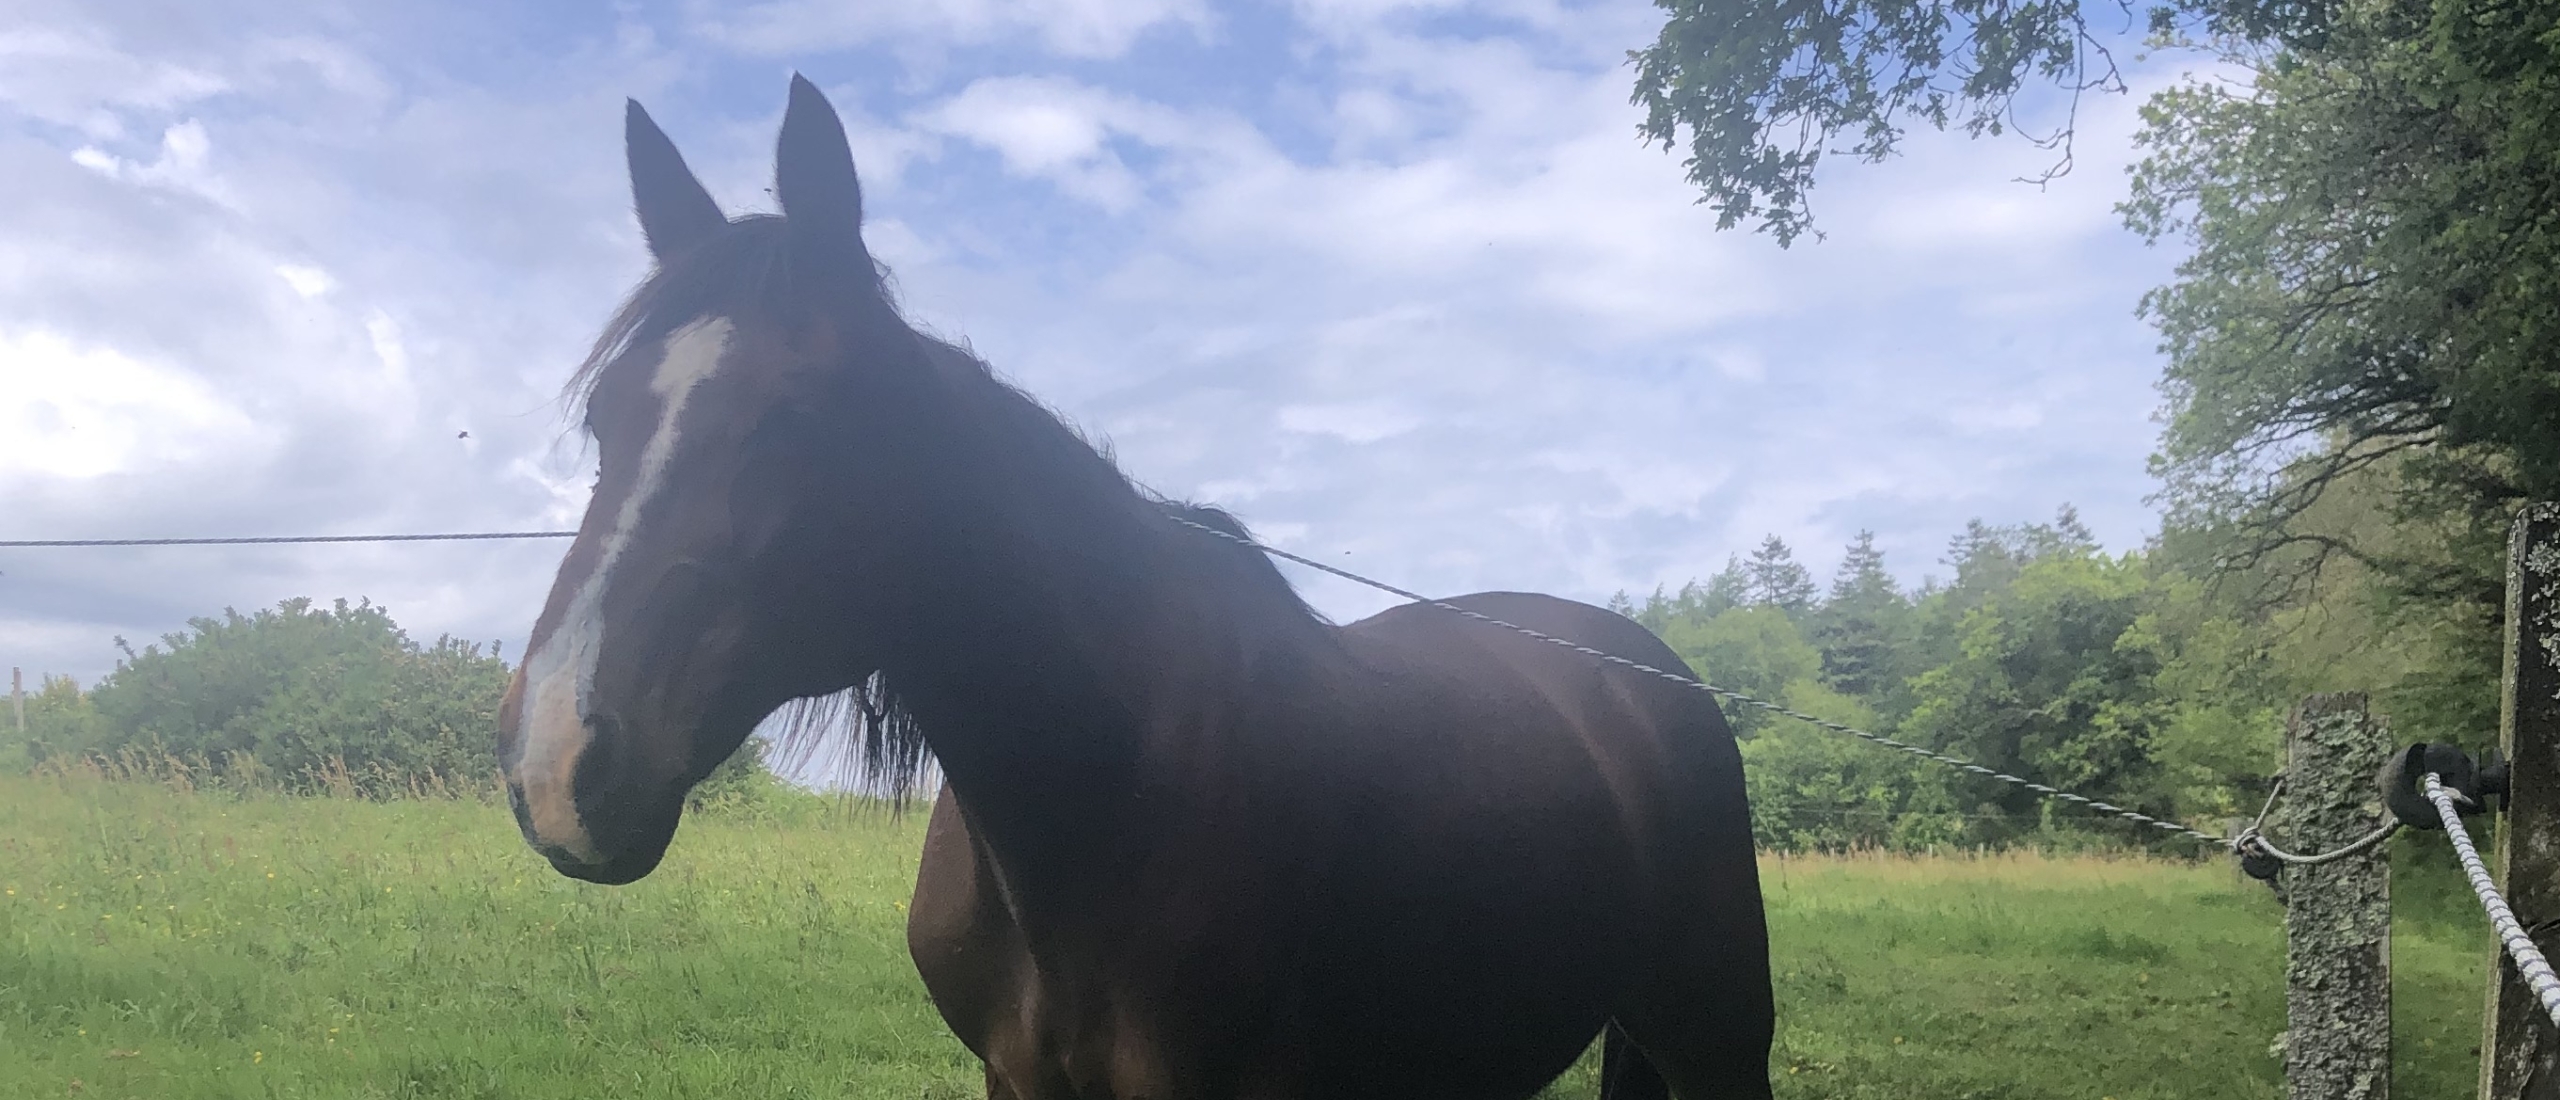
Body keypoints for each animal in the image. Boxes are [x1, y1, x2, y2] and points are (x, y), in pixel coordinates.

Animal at [493, 74, 1773, 1100]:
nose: (557, 763)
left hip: (1715, 1034)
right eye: (608, 419)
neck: (1102, 795)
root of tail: (1643, 671)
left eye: (806, 419)